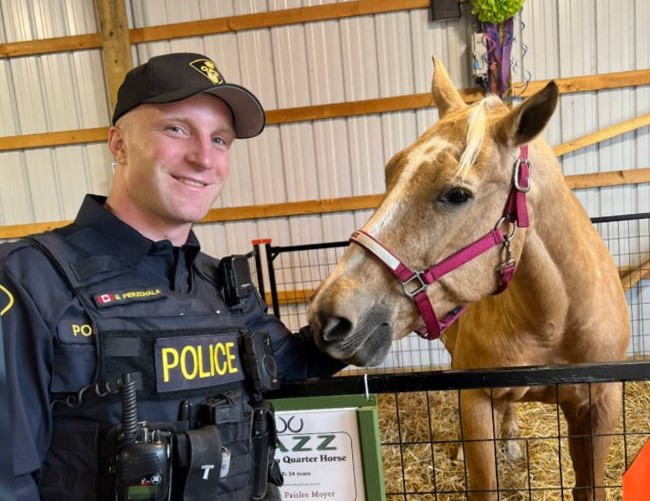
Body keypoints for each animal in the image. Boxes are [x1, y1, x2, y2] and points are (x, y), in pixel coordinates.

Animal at [308, 56, 628, 498]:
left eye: (456, 194)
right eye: (391, 171)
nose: (328, 317)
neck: (554, 319)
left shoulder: (600, 405)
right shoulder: (478, 400)